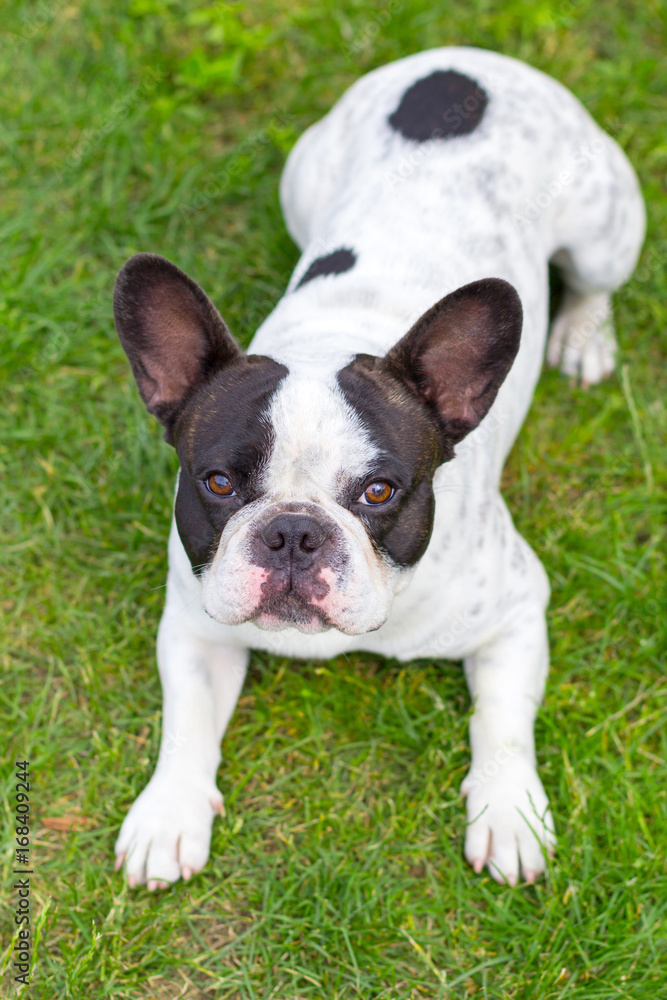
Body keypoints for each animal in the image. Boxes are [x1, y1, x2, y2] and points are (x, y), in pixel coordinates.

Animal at [112, 48, 644, 892]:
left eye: (379, 491)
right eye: (218, 484)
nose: (293, 534)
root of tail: (460, 60)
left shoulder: (517, 612)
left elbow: (501, 724)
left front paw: (509, 811)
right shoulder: (196, 624)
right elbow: (186, 722)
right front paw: (169, 814)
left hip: (604, 231)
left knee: (593, 285)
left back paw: (582, 337)